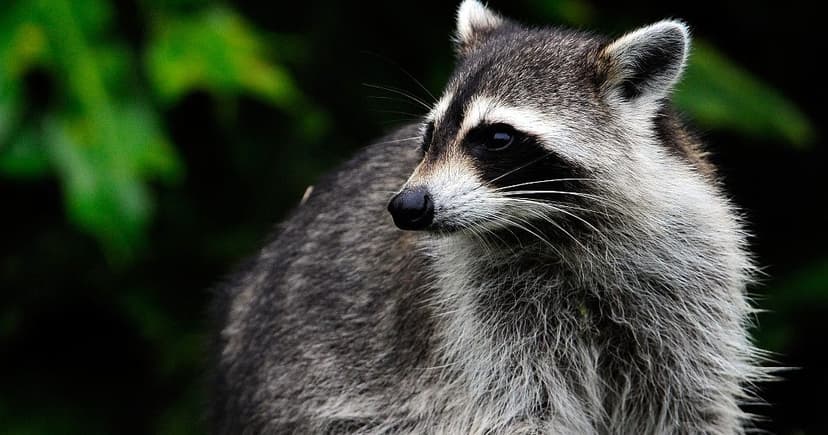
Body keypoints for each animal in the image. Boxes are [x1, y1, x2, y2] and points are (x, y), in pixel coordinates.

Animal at [211, 1, 766, 433]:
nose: (407, 207)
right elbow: (521, 408)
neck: (554, 226)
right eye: (428, 135)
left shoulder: (688, 283)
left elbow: (688, 405)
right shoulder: (480, 321)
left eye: (496, 138)